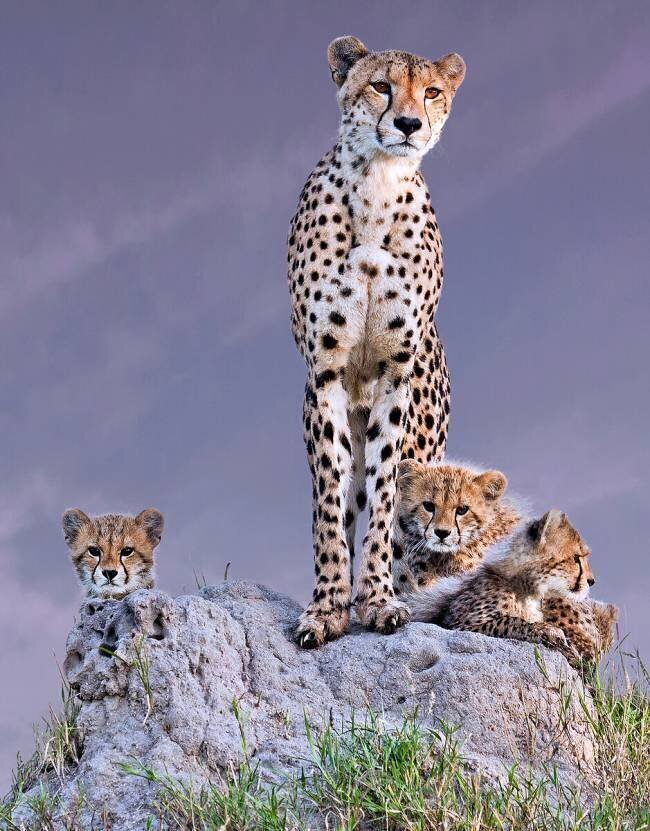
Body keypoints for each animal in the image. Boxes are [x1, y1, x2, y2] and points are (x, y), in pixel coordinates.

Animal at [287, 35, 466, 647]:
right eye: (381, 86)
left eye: (431, 91)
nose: (409, 123)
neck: (377, 187)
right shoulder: (325, 375)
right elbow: (328, 501)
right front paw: (327, 606)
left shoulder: (395, 376)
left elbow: (390, 496)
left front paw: (381, 601)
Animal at [406, 509, 595, 662]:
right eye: (576, 558)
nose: (592, 581)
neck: (524, 588)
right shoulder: (461, 624)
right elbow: (513, 621)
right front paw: (550, 631)